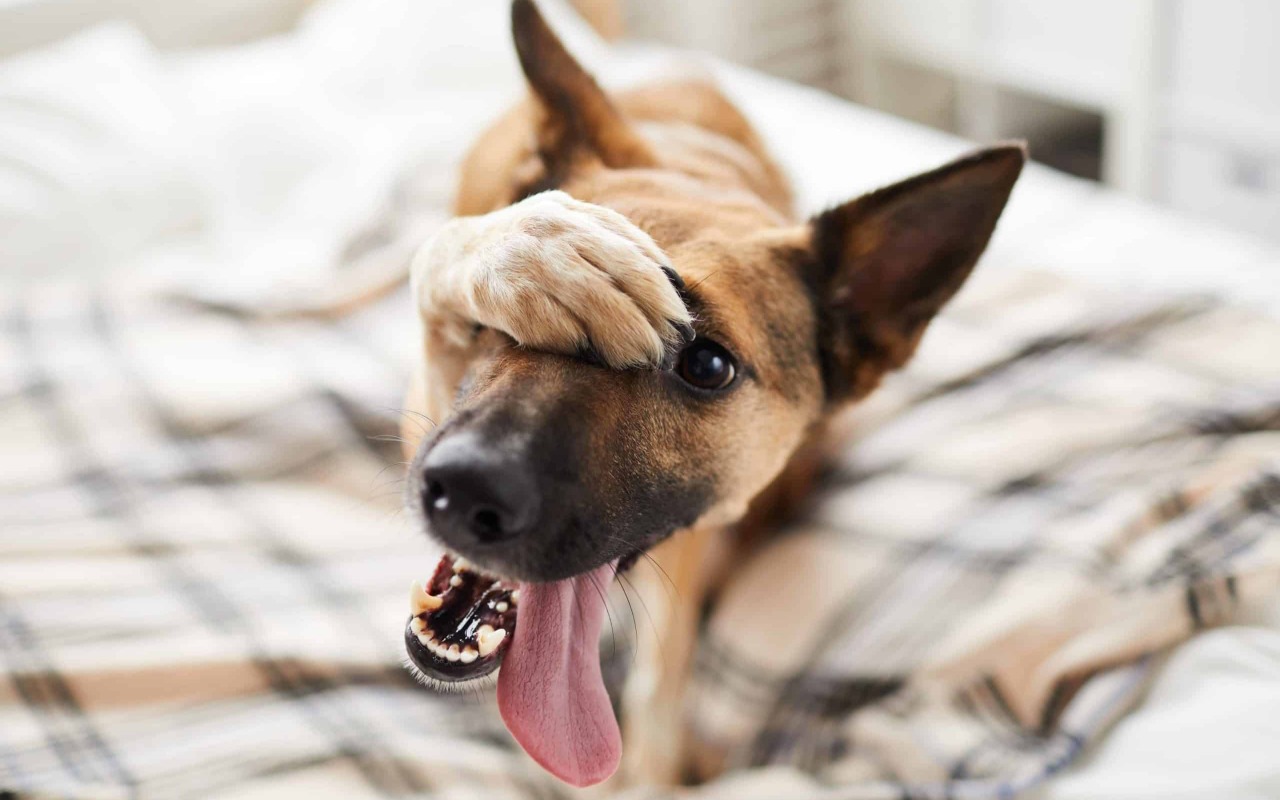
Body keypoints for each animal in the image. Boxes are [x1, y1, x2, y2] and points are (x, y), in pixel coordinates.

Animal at [396, 0, 1018, 788]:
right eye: (507, 322)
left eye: (708, 366)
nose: (464, 489)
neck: (700, 173)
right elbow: (450, 255)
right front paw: (537, 250)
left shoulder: (686, 557)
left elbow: (661, 684)